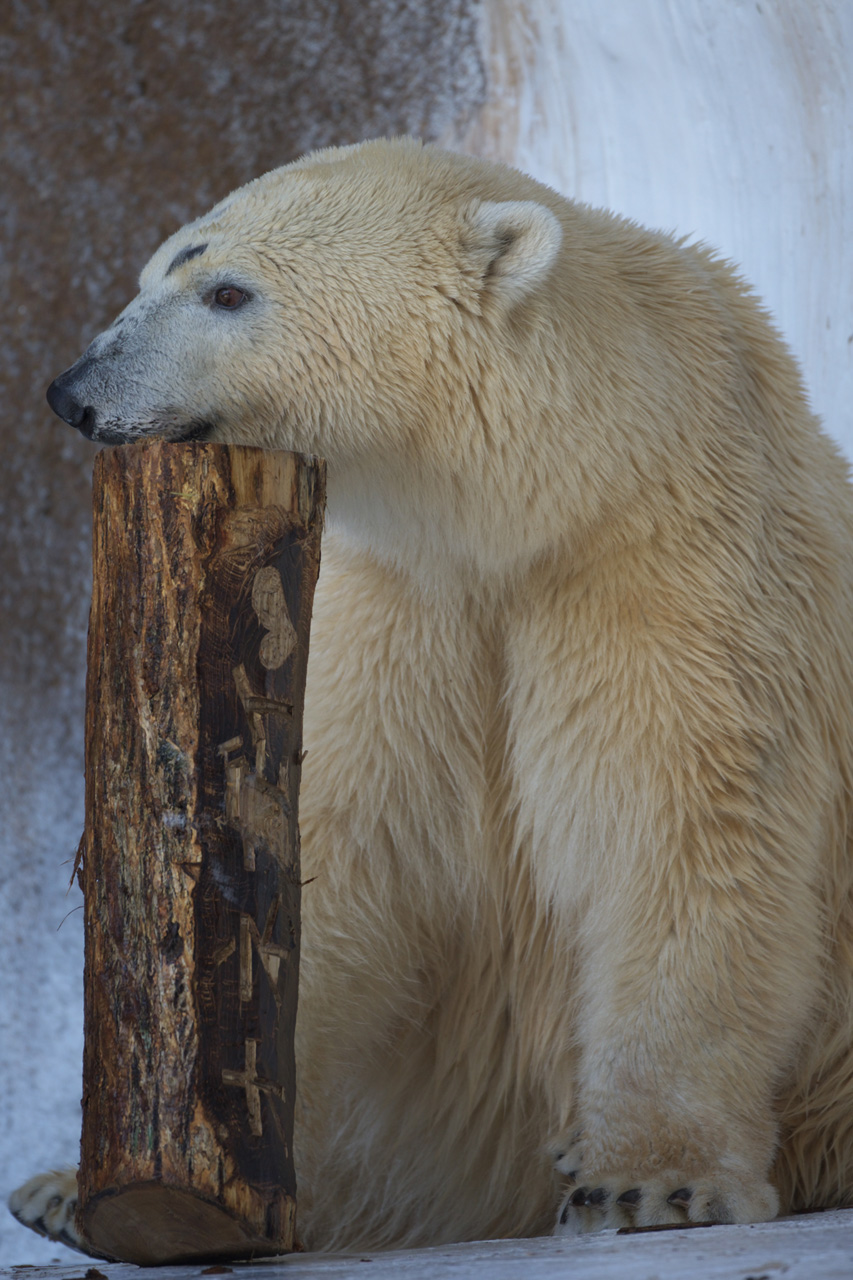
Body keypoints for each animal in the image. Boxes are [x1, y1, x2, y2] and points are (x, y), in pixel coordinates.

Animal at [11, 137, 850, 1249]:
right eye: (161, 268)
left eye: (228, 290)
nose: (73, 390)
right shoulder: (398, 600)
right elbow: (332, 846)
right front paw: (142, 1167)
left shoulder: (675, 570)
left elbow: (684, 829)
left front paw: (649, 1181)